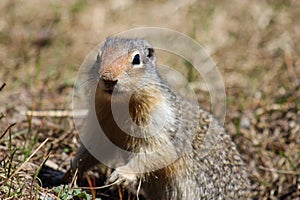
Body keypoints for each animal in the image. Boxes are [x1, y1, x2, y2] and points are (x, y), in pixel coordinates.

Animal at [67, 37, 252, 198]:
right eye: (99, 56)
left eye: (136, 59)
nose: (108, 78)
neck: (120, 106)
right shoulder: (101, 126)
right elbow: (92, 148)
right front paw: (71, 170)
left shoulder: (158, 124)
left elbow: (155, 153)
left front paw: (121, 175)